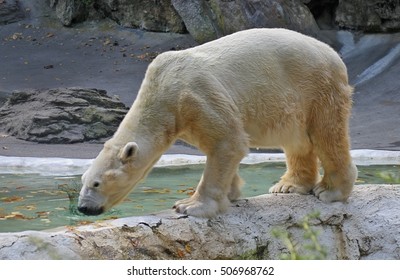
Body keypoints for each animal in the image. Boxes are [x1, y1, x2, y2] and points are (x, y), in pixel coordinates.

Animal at [77, 27, 356, 217]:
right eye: (83, 180)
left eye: (96, 183)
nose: (83, 207)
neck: (162, 89)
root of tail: (333, 54)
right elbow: (221, 150)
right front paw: (231, 193)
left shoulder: (194, 95)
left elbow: (227, 140)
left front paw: (189, 205)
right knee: (297, 140)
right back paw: (288, 186)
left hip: (316, 86)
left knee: (326, 135)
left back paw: (330, 191)